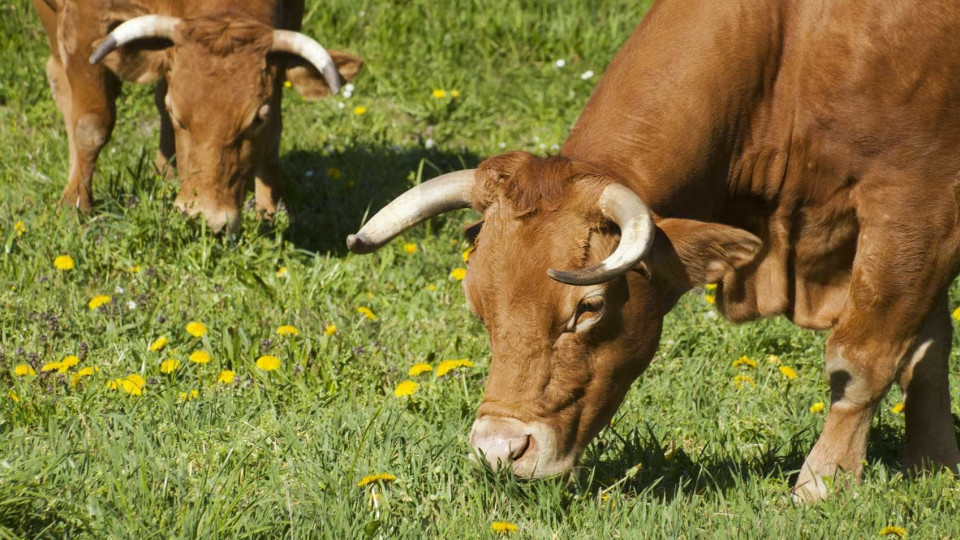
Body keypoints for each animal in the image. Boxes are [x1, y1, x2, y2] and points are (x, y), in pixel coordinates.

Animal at [33, 0, 362, 230]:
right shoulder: (84, 20)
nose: (207, 220)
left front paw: (271, 212)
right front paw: (75, 206)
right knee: (59, 78)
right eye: (177, 114)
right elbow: (92, 123)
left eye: (257, 119)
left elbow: (273, 137)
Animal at [348, 0, 960, 502]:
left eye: (588, 308)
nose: (499, 451)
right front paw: (933, 467)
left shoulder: (914, 205)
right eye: (480, 309)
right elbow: (926, 353)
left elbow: (861, 358)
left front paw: (824, 482)